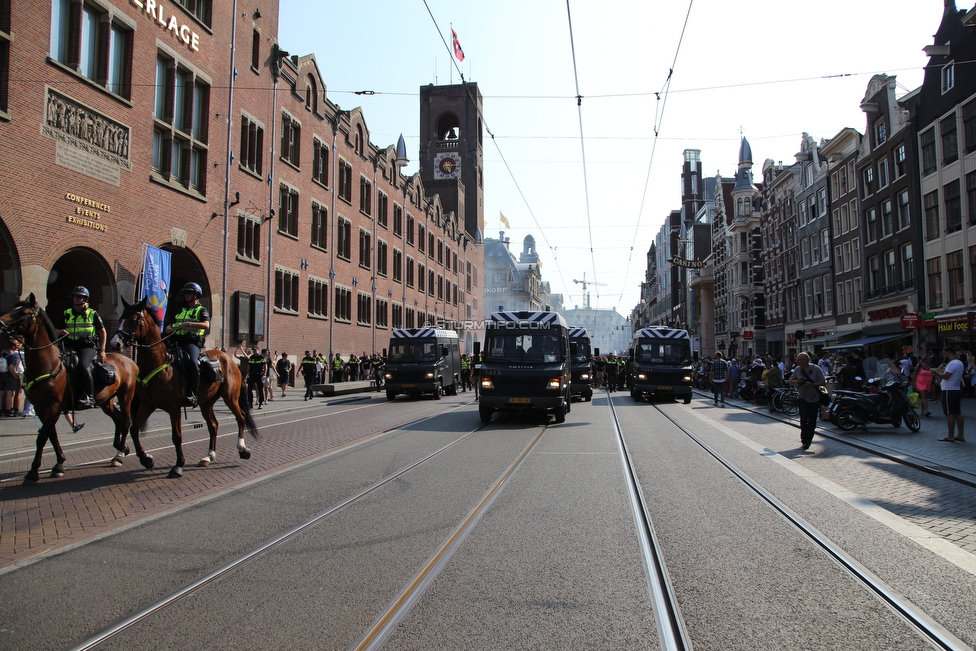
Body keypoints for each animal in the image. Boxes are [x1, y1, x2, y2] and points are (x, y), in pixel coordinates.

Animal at [0, 292, 142, 482]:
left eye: (24, 313)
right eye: (14, 308)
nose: (1, 322)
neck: (49, 363)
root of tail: (129, 361)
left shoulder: (53, 406)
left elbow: (42, 437)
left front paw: (33, 471)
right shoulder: (41, 407)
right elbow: (51, 435)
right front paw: (59, 464)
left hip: (125, 396)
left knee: (125, 421)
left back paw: (118, 455)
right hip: (106, 400)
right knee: (118, 419)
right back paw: (121, 448)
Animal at [115, 296, 258, 478]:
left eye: (133, 319)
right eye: (121, 318)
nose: (116, 342)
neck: (161, 363)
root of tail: (229, 359)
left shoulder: (174, 407)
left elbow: (177, 436)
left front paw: (178, 466)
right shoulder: (148, 404)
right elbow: (134, 429)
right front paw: (146, 459)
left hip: (230, 397)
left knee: (240, 418)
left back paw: (243, 449)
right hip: (206, 402)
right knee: (213, 425)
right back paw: (208, 456)